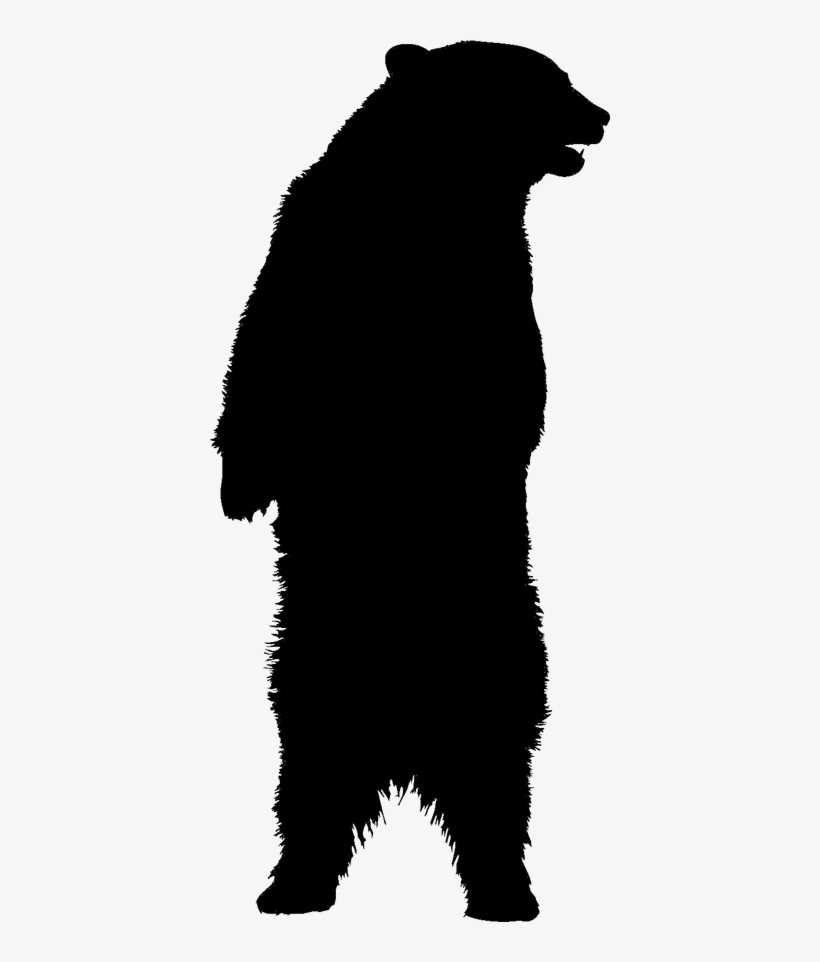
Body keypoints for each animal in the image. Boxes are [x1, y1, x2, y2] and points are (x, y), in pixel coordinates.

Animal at [213, 40, 609, 921]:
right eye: (547, 81)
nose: (602, 115)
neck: (432, 200)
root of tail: (402, 747)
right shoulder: (316, 242)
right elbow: (261, 355)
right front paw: (239, 490)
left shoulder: (491, 283)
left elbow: (506, 388)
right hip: (311, 686)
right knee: (308, 785)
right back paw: (291, 886)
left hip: (499, 675)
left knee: (498, 788)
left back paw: (505, 892)